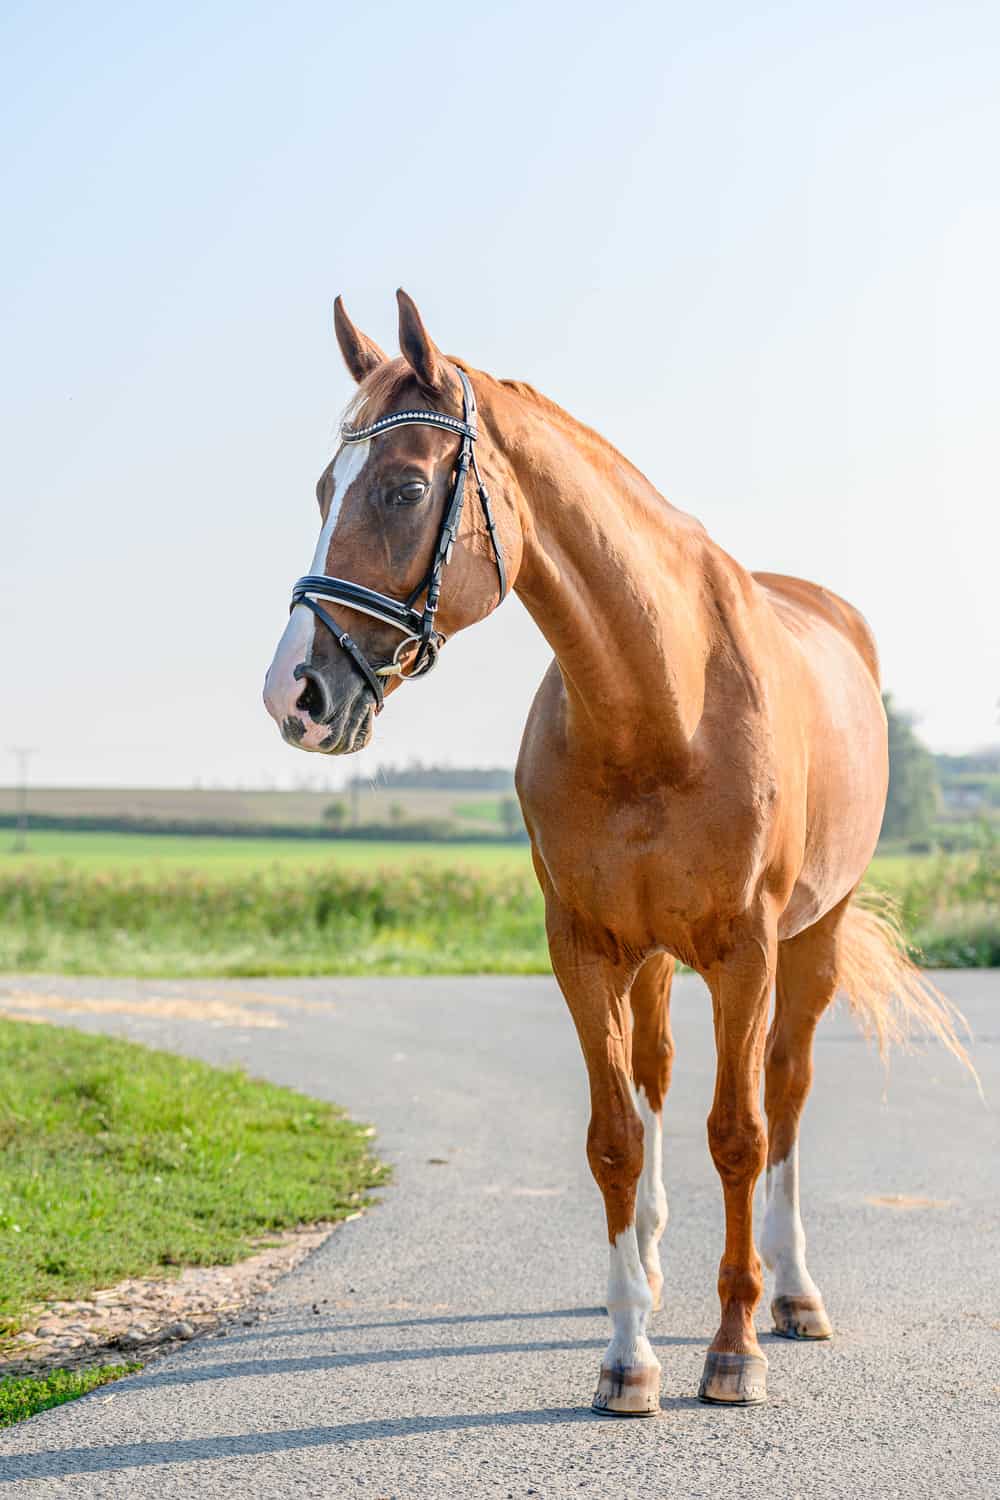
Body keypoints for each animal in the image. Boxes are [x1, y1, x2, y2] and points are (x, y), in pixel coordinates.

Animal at [263, 290, 970, 1414]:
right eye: (325, 487)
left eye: (404, 486)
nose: (294, 693)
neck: (660, 698)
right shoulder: (587, 946)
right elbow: (614, 1138)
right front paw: (628, 1354)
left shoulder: (746, 952)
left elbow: (740, 1133)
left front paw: (733, 1350)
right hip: (652, 960)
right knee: (656, 1077)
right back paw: (649, 1260)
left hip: (809, 944)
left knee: (786, 1093)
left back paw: (794, 1294)